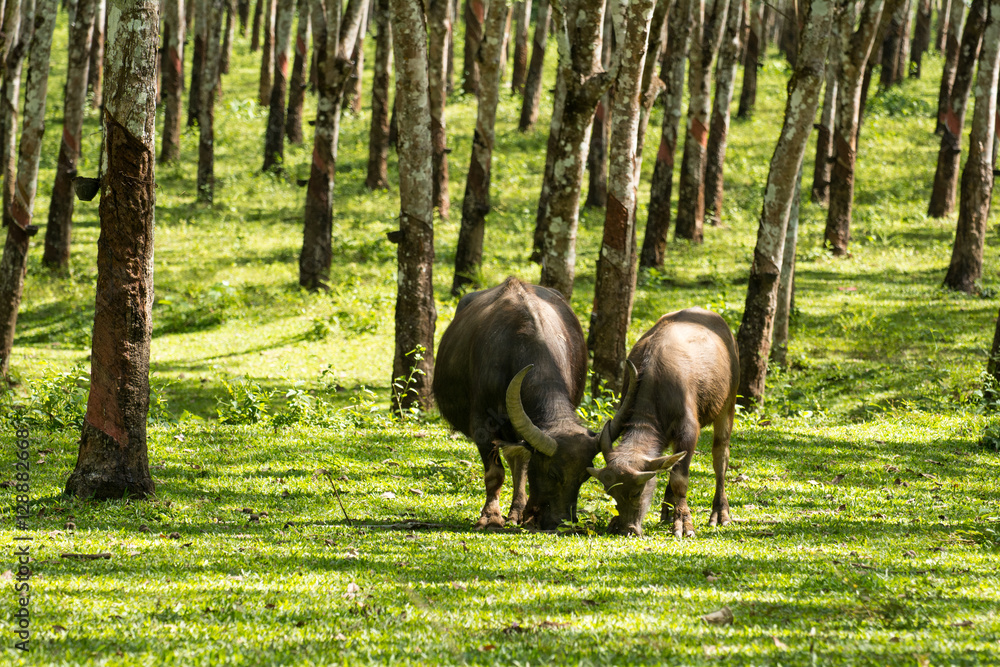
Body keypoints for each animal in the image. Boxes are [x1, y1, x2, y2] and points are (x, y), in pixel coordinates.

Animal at [587, 308, 740, 537]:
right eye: (611, 493)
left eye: (637, 491)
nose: (627, 529)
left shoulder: (688, 430)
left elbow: (679, 479)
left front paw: (683, 522)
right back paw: (667, 511)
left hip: (727, 404)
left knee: (720, 456)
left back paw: (720, 513)